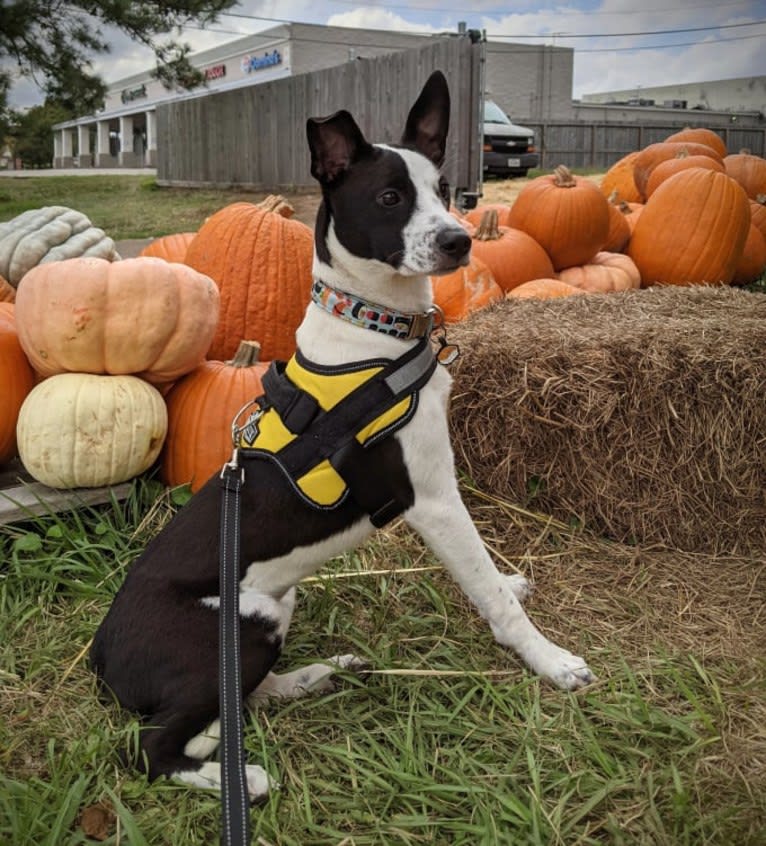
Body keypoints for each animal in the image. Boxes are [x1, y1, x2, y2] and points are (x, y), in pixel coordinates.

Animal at [90, 71, 592, 800]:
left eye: (444, 189)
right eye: (389, 198)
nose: (460, 242)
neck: (374, 328)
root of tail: (100, 654)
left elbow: (490, 575)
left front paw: (511, 584)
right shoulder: (433, 500)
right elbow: (490, 594)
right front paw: (550, 660)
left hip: (275, 608)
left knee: (241, 698)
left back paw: (313, 678)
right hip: (241, 621)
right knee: (154, 746)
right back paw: (241, 778)